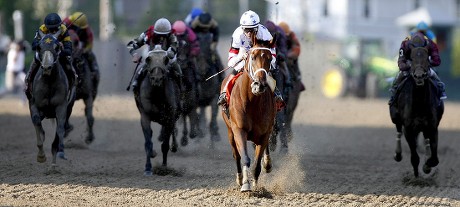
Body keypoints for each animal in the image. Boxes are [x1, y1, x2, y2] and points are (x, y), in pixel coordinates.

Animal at [27, 32, 75, 165]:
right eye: (39, 47)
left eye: (57, 47)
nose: (47, 68)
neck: (49, 81)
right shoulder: (34, 104)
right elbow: (36, 121)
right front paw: (41, 156)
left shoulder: (61, 106)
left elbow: (60, 127)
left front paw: (58, 152)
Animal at [134, 44, 181, 175]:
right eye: (148, 59)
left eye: (165, 60)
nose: (156, 79)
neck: (157, 95)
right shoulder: (145, 116)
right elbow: (148, 142)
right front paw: (148, 167)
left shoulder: (169, 117)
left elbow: (165, 145)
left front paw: (164, 168)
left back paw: (174, 146)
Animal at [220, 39, 274, 192]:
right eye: (253, 57)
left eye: (270, 58)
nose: (259, 85)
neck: (252, 102)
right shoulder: (239, 130)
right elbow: (244, 157)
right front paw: (245, 184)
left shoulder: (264, 133)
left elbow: (256, 164)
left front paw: (256, 187)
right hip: (230, 131)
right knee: (236, 155)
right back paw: (239, 179)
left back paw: (267, 163)